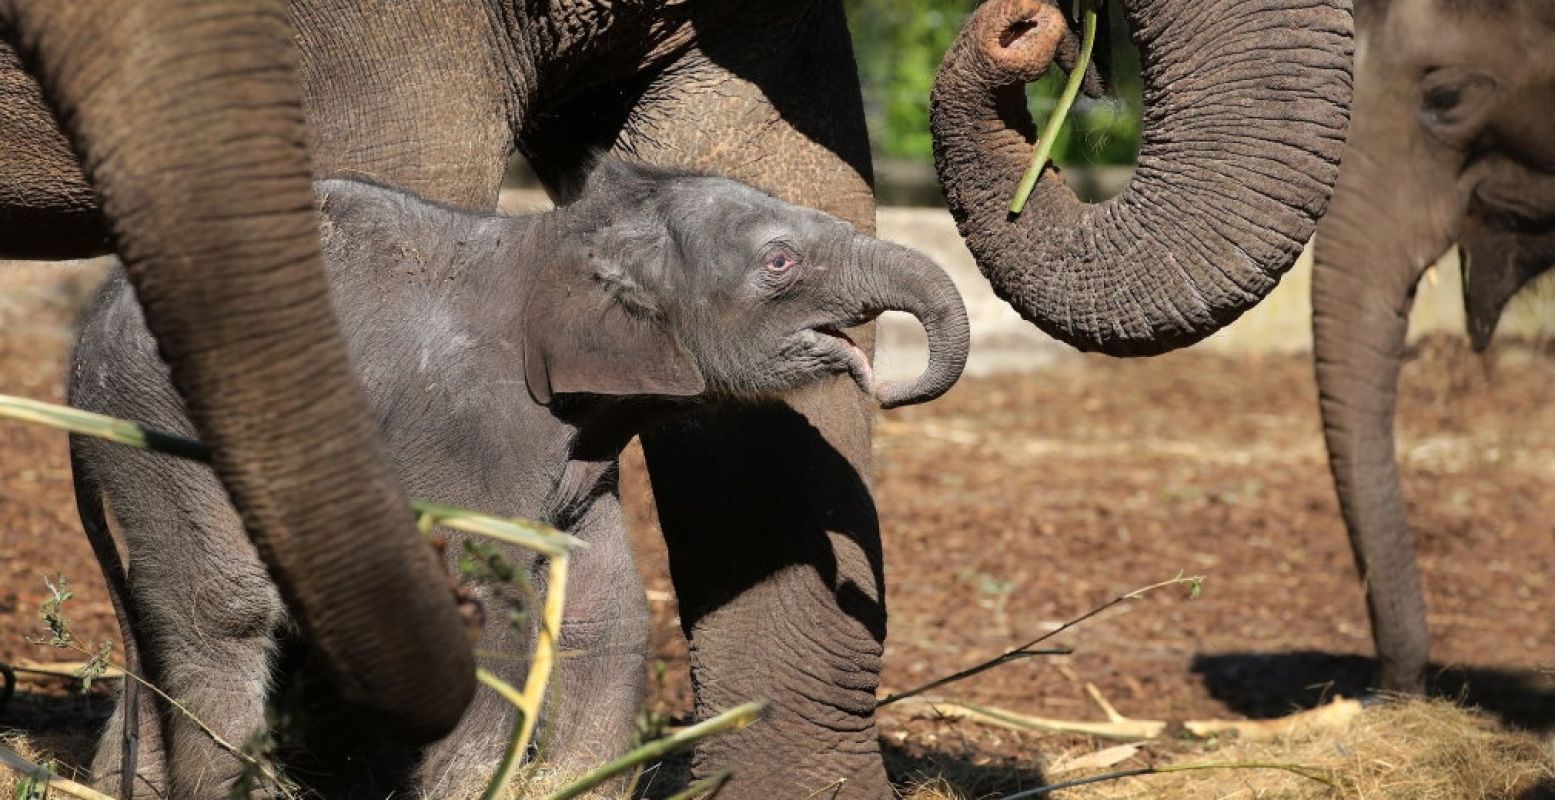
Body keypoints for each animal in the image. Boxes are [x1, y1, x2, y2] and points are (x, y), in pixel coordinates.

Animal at [73, 158, 970, 793]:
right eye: (779, 263)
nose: (880, 383)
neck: (559, 238)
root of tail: (85, 333)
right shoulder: (470, 428)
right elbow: (496, 601)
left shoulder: (581, 456)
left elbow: (604, 606)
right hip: (156, 416)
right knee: (223, 604)